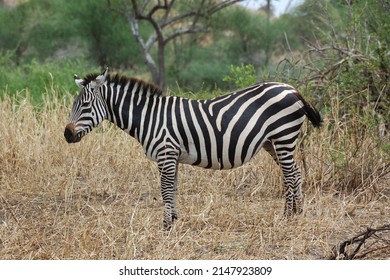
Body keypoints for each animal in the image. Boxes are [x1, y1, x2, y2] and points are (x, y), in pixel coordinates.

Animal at [63, 67, 320, 230]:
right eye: (74, 104)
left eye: (85, 105)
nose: (67, 134)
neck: (149, 117)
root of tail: (293, 89)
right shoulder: (172, 157)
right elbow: (173, 189)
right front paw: (174, 219)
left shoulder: (166, 154)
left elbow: (166, 190)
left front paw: (166, 226)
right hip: (273, 143)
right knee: (295, 174)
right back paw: (296, 214)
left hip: (283, 137)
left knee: (290, 175)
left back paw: (286, 216)